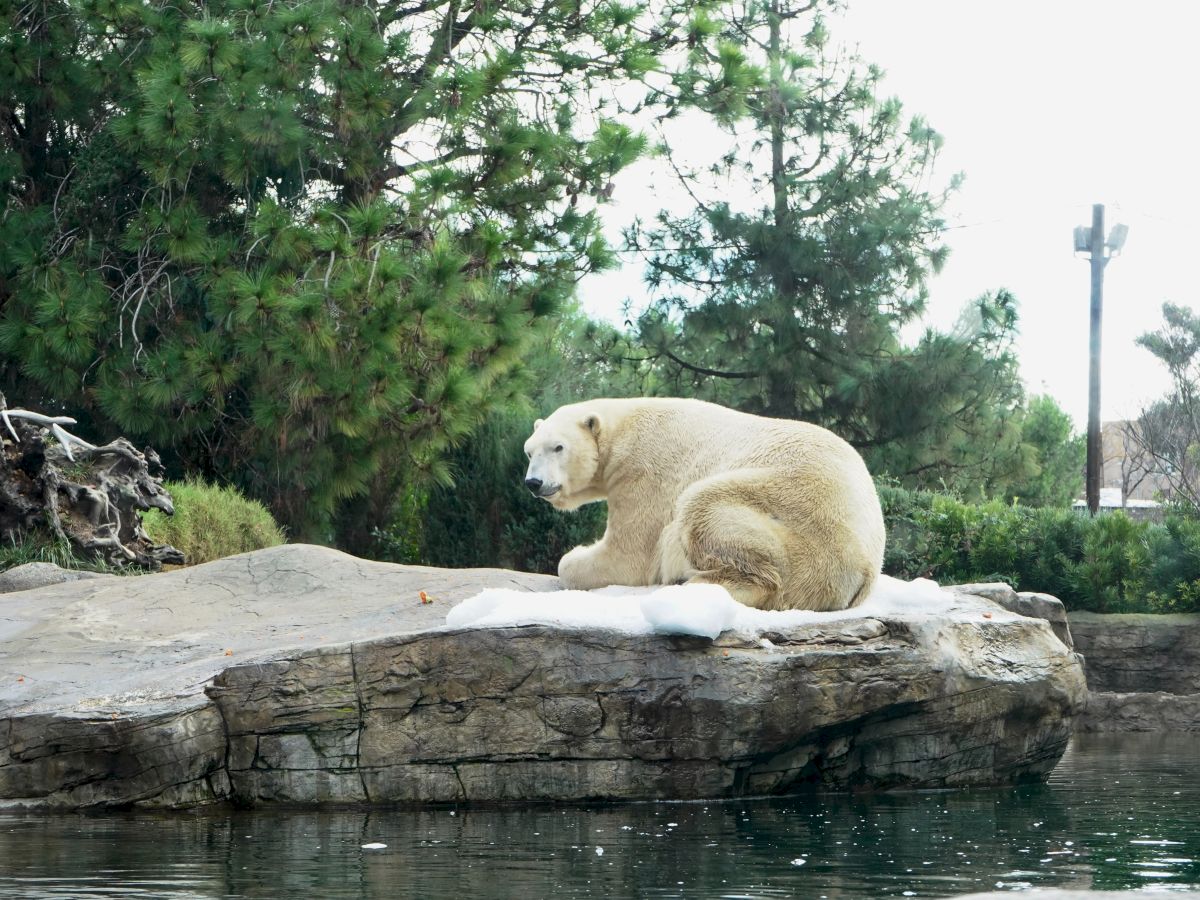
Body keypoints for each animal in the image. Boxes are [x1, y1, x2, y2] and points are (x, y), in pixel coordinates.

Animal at [520, 396, 888, 614]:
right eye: (529, 451)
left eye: (558, 447)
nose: (533, 483)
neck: (624, 425)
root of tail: (866, 568)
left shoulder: (644, 472)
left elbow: (627, 558)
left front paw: (575, 555)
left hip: (794, 517)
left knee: (704, 507)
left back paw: (694, 585)